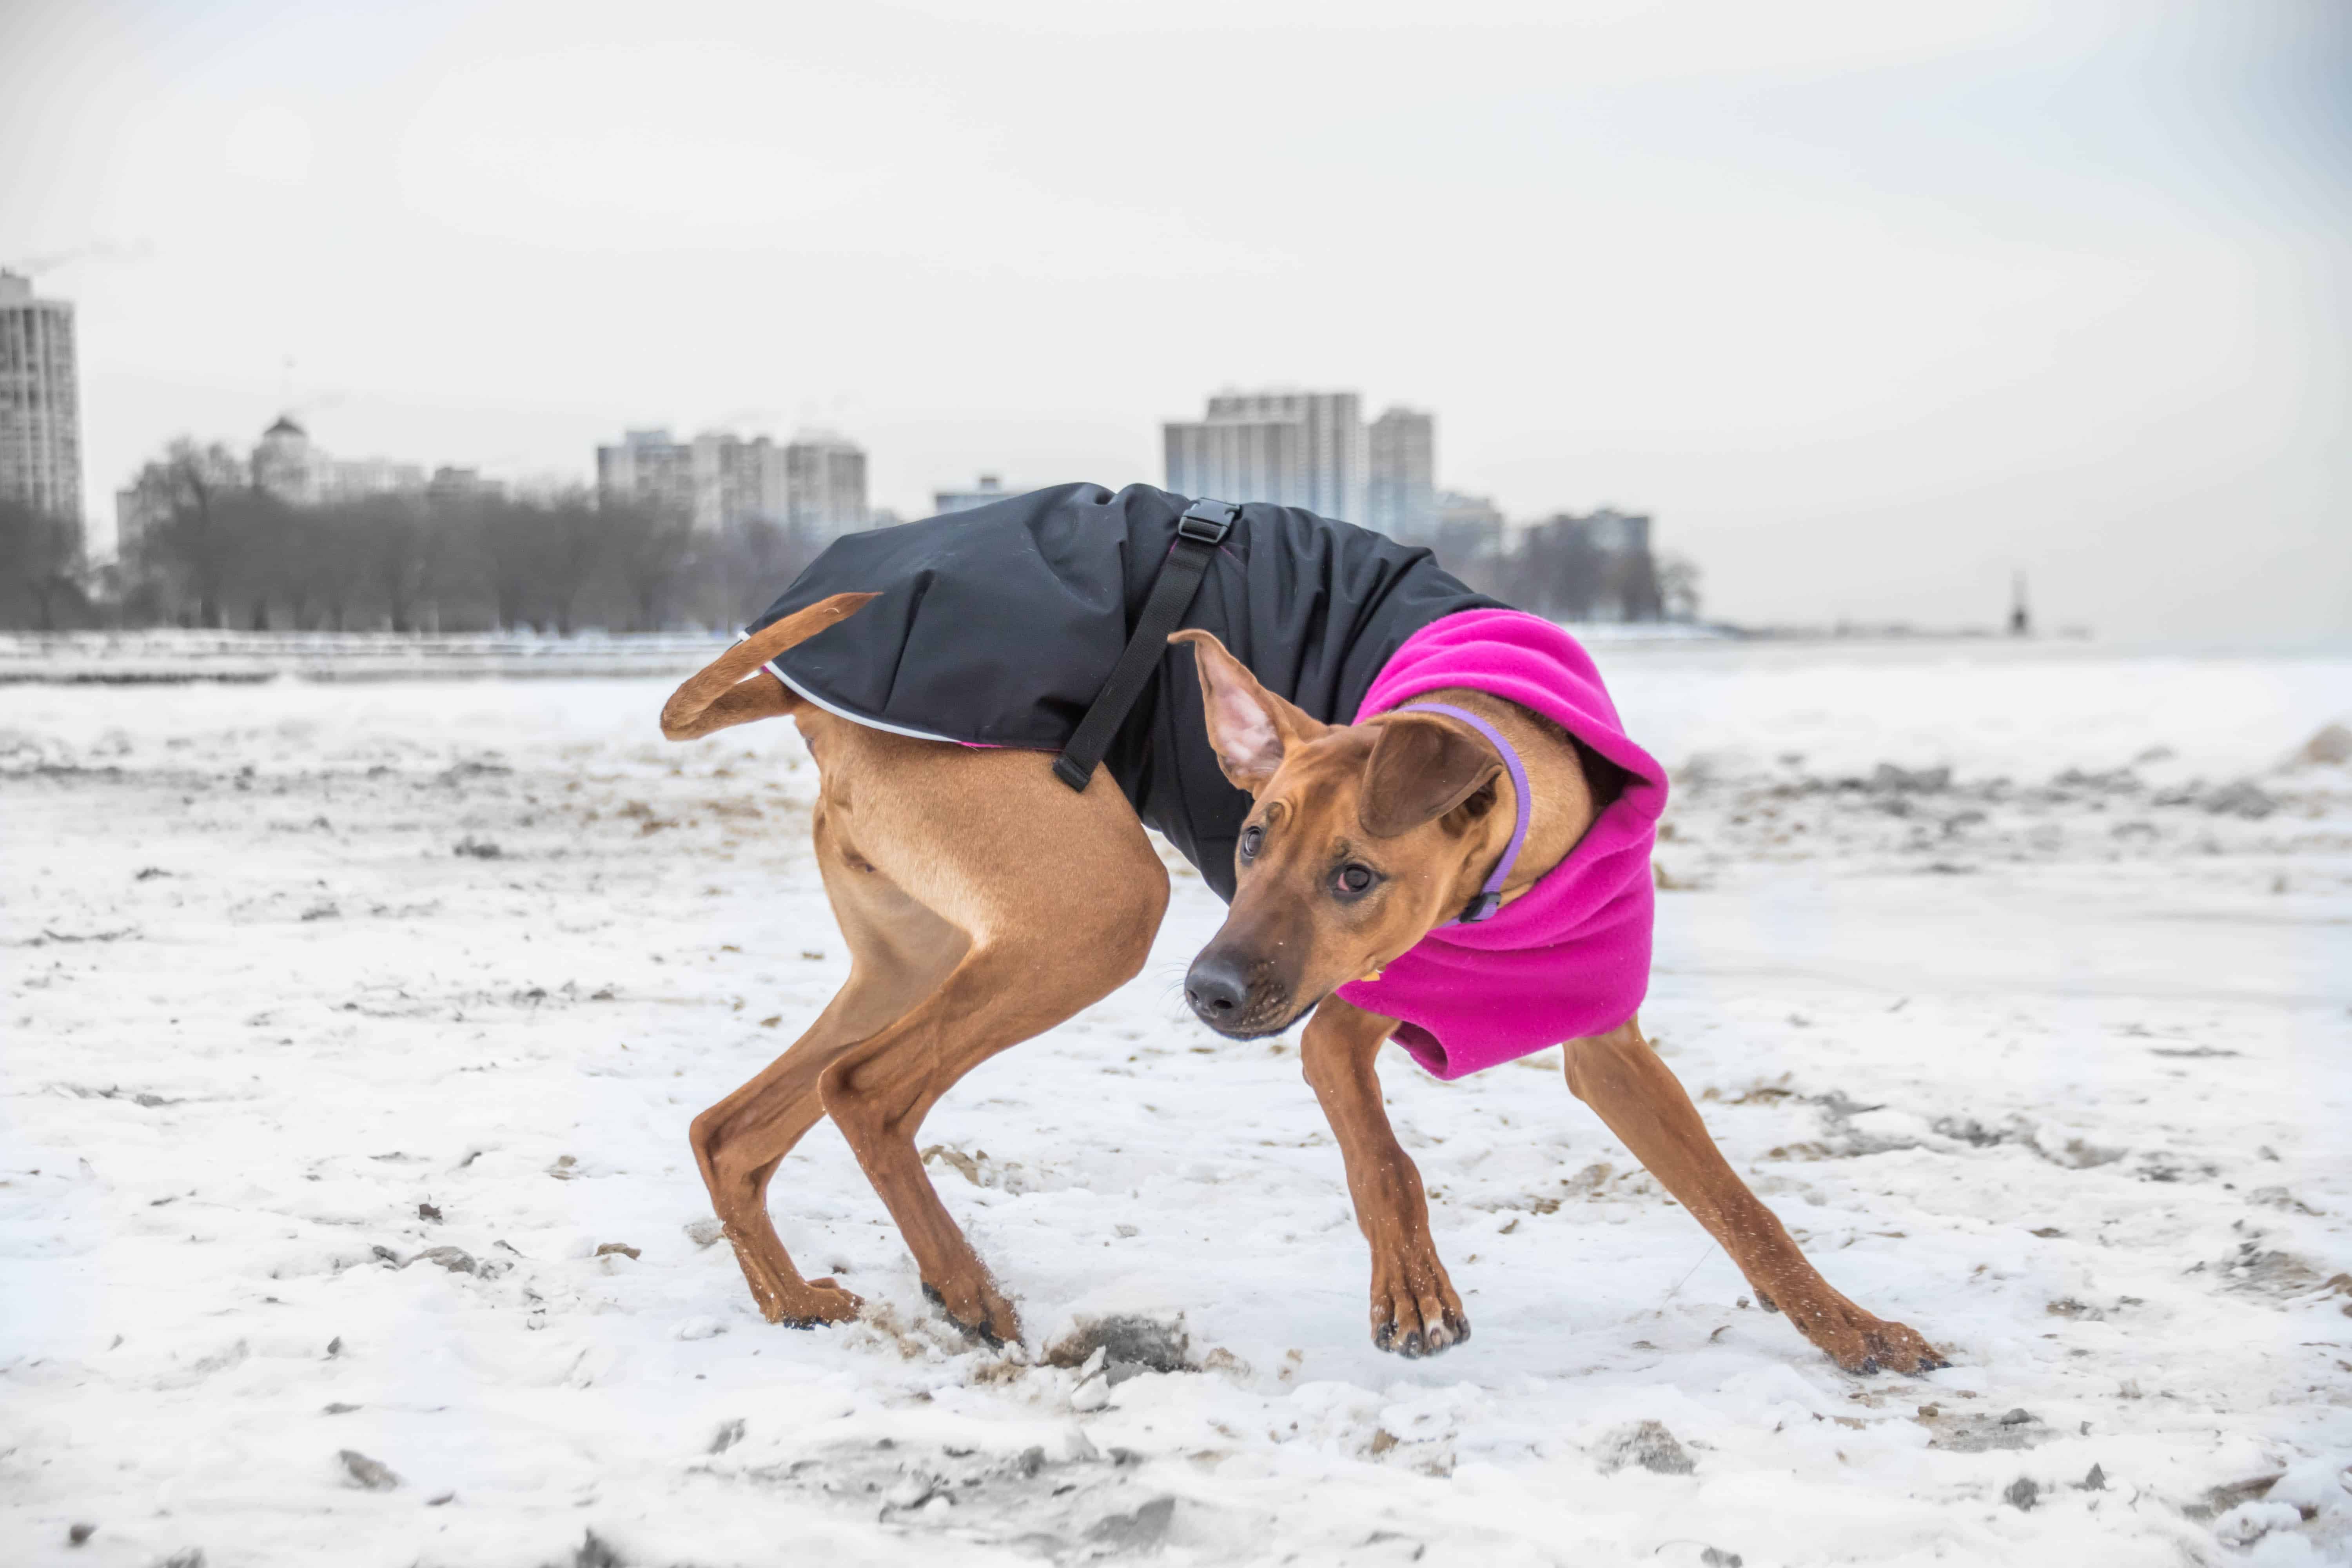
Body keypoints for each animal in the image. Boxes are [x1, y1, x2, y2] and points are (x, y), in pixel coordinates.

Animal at [663, 597, 1947, 1373]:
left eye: (1354, 873)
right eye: (1247, 839)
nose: (1212, 993)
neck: (1504, 887)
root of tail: (812, 704)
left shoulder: (1608, 1051)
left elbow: (1741, 1205)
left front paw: (1850, 1330)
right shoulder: (1334, 1032)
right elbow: (1384, 1159)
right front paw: (1414, 1296)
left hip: (919, 955)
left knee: (737, 1123)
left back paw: (794, 1301)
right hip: (1091, 918)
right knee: (864, 1090)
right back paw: (963, 1285)